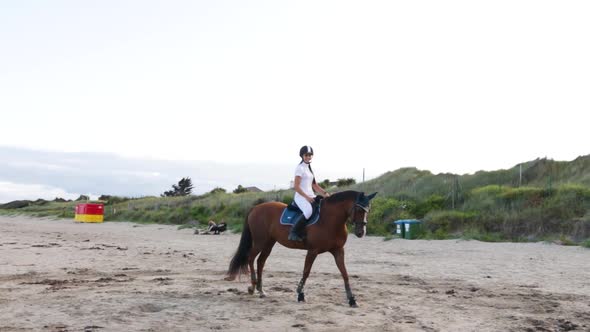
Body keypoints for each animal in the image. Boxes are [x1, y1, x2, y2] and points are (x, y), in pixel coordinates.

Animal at [227, 191, 380, 308]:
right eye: (359, 209)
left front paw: (352, 299)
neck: (330, 219)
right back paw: (252, 287)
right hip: (260, 241)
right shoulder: (312, 251)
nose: (361, 232)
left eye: (369, 210)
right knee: (251, 258)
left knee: (261, 262)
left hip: (269, 243)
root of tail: (256, 207)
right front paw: (300, 294)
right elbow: (306, 272)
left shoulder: (338, 251)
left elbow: (345, 274)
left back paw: (261, 290)